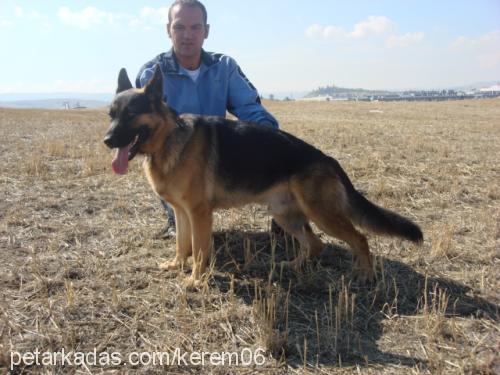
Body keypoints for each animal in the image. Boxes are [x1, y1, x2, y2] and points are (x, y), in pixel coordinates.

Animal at [104, 67, 422, 288]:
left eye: (131, 114)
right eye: (111, 115)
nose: (107, 140)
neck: (170, 138)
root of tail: (328, 159)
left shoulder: (199, 214)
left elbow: (199, 251)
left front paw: (195, 280)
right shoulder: (183, 214)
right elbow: (183, 244)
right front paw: (176, 265)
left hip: (322, 214)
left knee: (359, 238)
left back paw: (366, 275)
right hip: (285, 215)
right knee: (315, 244)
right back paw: (291, 266)